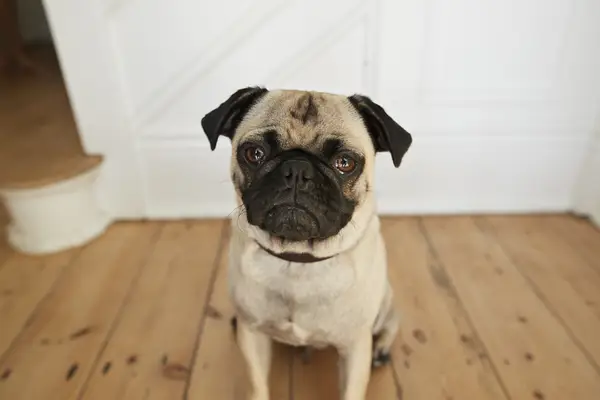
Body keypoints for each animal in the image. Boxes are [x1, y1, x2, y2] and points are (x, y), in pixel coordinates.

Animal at [201, 87, 412, 400]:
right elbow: (257, 385)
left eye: (345, 163)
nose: (297, 170)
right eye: (254, 153)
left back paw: (383, 349)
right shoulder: (253, 336)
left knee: (389, 323)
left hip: (384, 303)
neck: (297, 258)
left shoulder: (354, 347)